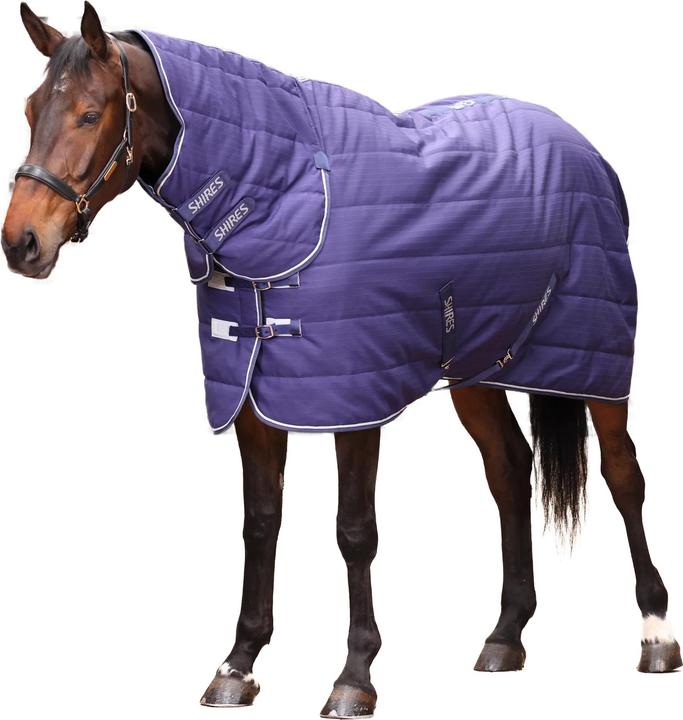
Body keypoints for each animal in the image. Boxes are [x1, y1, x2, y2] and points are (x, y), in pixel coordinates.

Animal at [2, 3, 680, 716]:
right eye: (29, 109)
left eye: (89, 113)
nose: (22, 242)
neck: (287, 191)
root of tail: (584, 148)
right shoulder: (254, 401)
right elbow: (260, 523)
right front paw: (238, 664)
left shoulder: (354, 403)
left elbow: (354, 531)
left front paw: (354, 675)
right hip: (478, 369)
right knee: (509, 469)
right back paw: (505, 636)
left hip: (598, 362)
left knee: (623, 474)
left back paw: (656, 634)